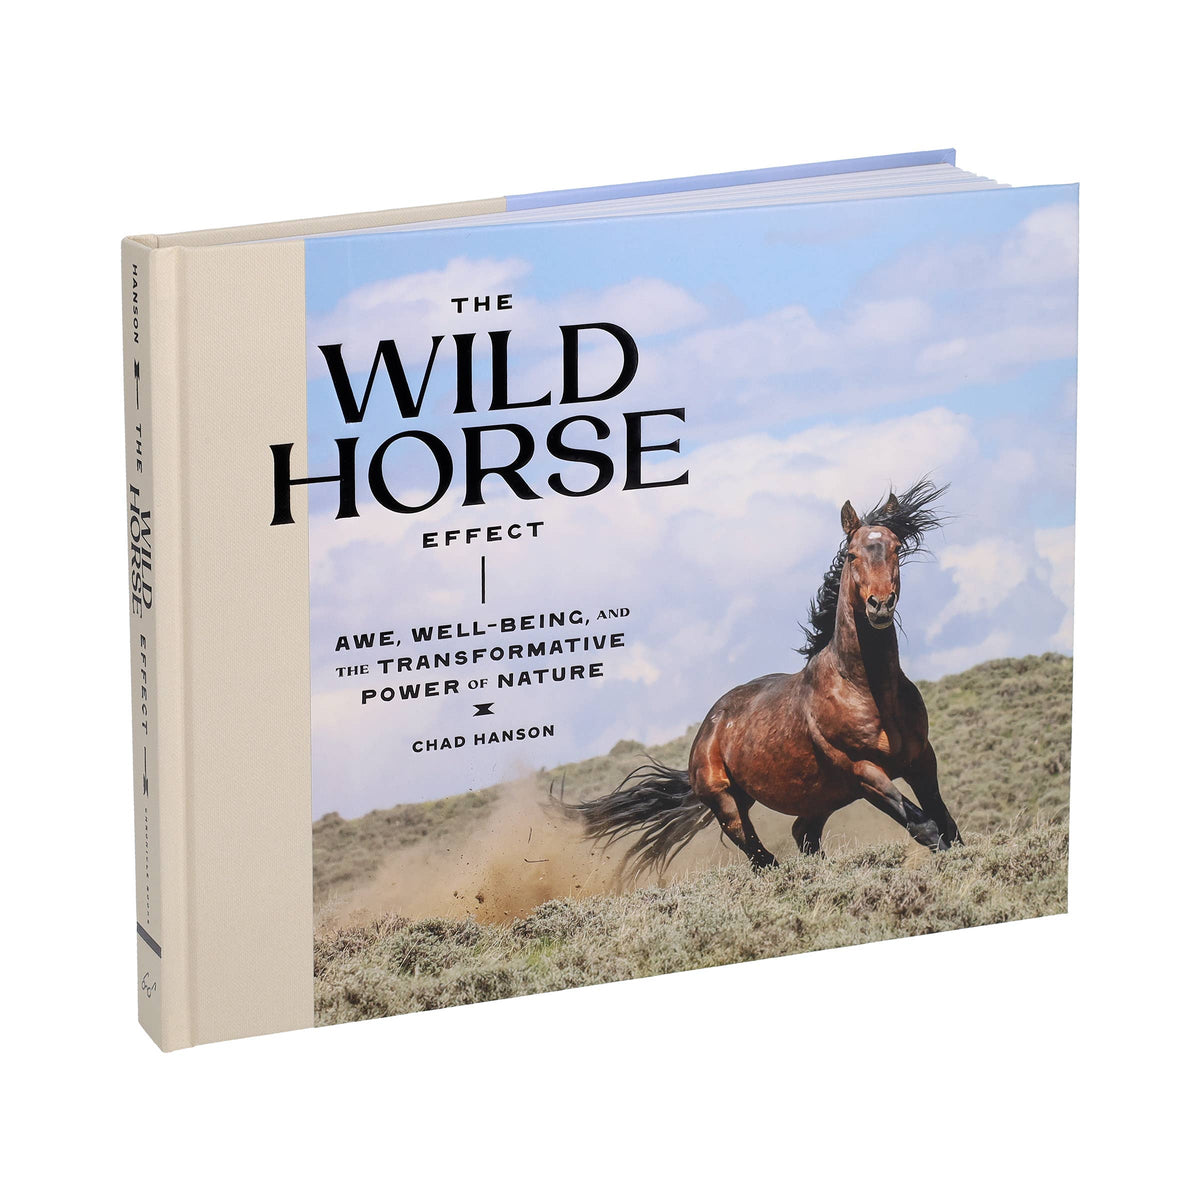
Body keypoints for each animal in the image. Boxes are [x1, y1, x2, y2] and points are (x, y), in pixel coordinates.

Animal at [570, 479, 963, 875]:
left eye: (897, 548)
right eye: (852, 554)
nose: (879, 605)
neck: (867, 689)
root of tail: (707, 729)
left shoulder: (921, 758)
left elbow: (947, 821)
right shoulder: (865, 772)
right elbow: (925, 825)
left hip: (821, 797)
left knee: (802, 835)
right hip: (729, 804)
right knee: (761, 856)